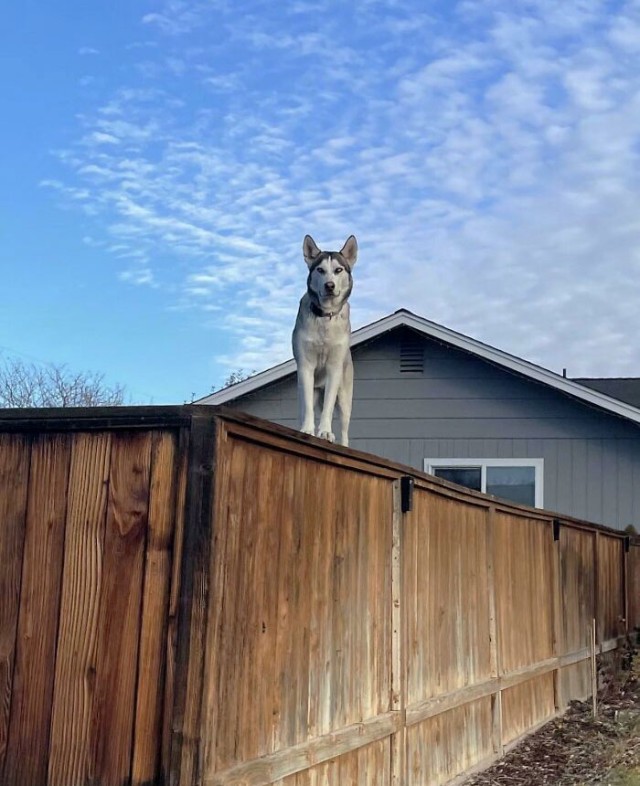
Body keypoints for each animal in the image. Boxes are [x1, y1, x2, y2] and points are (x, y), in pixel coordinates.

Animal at [292, 233, 358, 444]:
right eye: (320, 270)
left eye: (338, 270)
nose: (330, 285)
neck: (325, 318)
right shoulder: (305, 367)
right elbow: (308, 409)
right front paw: (307, 430)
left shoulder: (334, 368)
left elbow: (328, 409)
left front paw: (326, 432)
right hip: (310, 389)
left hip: (345, 397)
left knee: (344, 429)